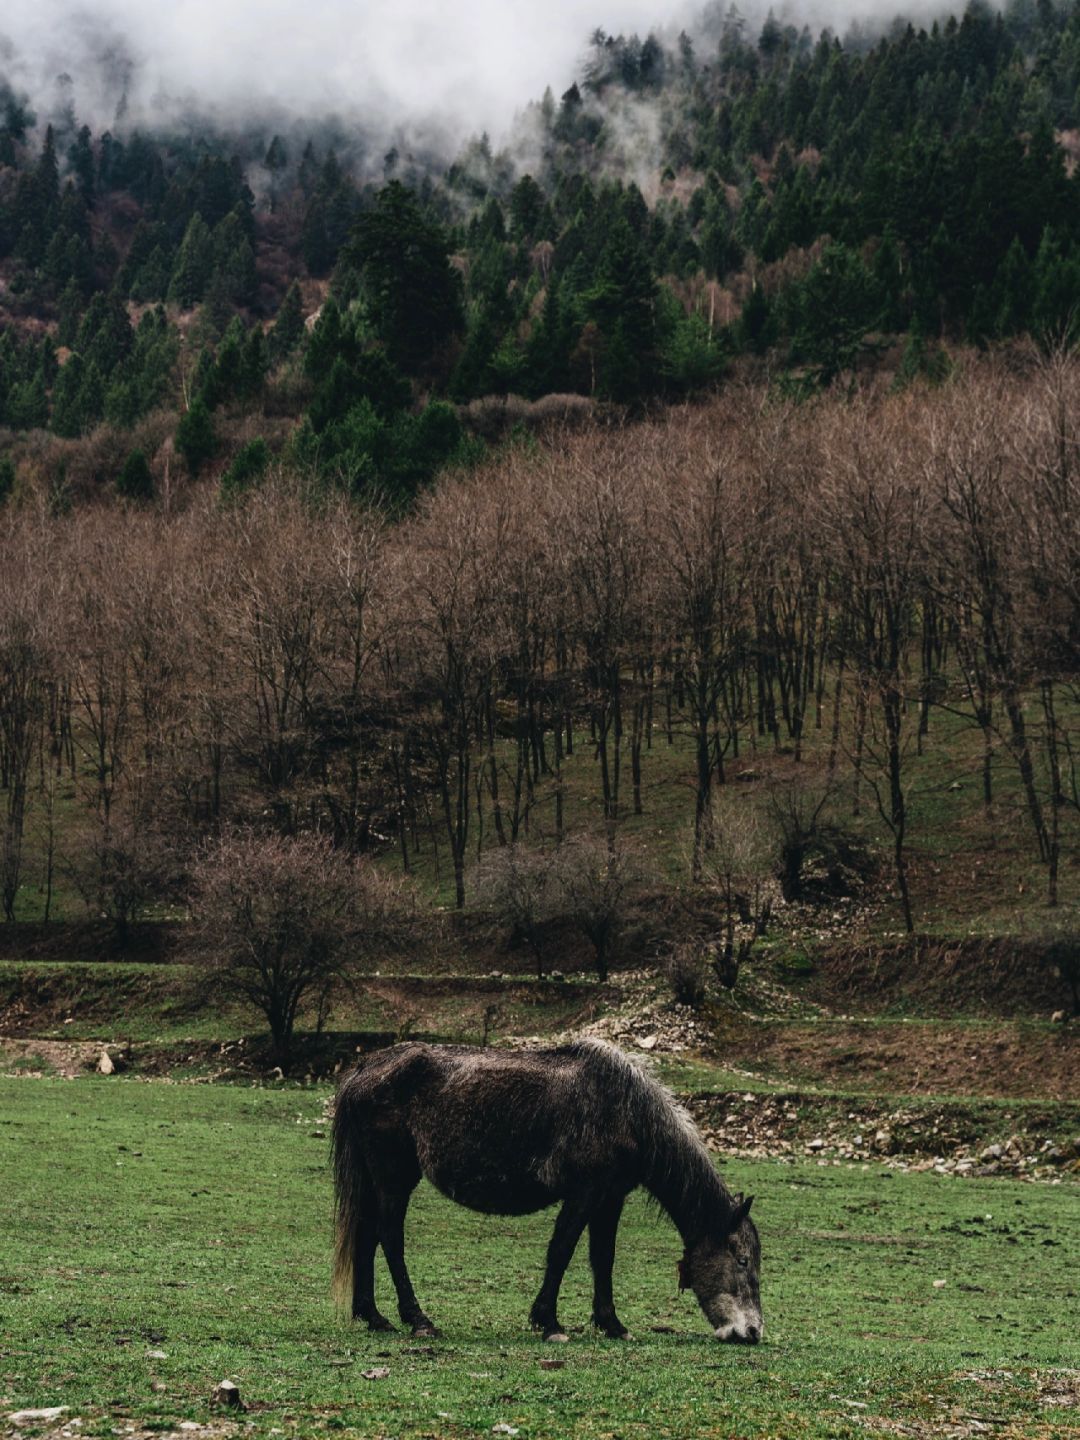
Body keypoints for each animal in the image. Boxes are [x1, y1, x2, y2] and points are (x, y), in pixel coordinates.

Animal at [331, 1038, 762, 1343]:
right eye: (742, 1261)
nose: (753, 1332)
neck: (623, 1109)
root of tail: (365, 1068)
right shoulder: (584, 1193)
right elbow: (562, 1251)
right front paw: (549, 1322)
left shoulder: (610, 1198)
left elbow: (602, 1259)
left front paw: (612, 1324)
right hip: (394, 1177)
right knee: (389, 1237)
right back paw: (418, 1320)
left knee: (366, 1236)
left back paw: (374, 1316)